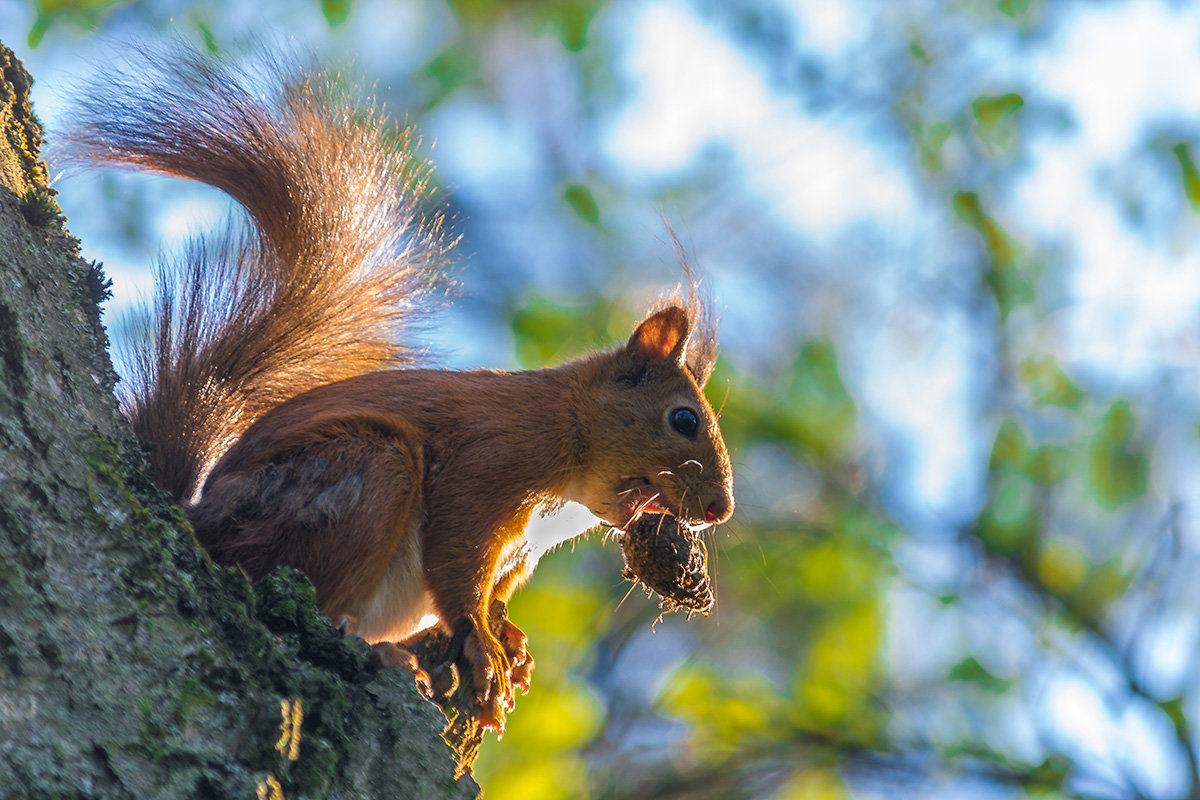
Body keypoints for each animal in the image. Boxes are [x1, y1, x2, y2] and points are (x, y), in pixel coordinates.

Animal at [70, 48, 734, 734]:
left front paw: (509, 641)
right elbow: (459, 569)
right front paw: (486, 653)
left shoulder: (521, 553)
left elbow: (494, 593)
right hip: (359, 473)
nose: (721, 510)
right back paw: (378, 649)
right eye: (683, 420)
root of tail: (198, 515)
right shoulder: (488, 465)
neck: (570, 429)